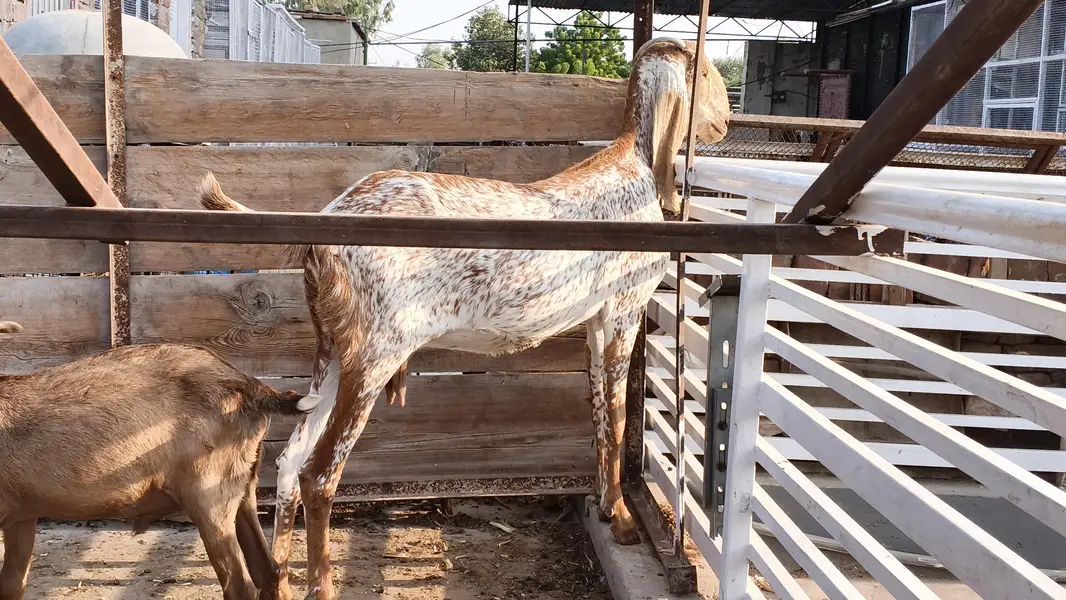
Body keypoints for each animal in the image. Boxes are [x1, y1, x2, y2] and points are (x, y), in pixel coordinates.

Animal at [0, 330, 320, 600]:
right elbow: (12, 585)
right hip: (243, 488)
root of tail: (253, 387)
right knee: (270, 571)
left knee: (240, 586)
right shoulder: (22, 516)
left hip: (209, 496)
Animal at [198, 37, 730, 600]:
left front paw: (608, 508)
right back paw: (320, 584)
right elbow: (618, 412)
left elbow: (599, 414)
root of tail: (325, 224)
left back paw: (278, 574)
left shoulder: (595, 319)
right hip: (375, 354)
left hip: (334, 354)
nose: (726, 120)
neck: (635, 165)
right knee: (319, 475)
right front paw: (625, 520)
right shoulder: (626, 307)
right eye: (706, 72)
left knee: (289, 459)